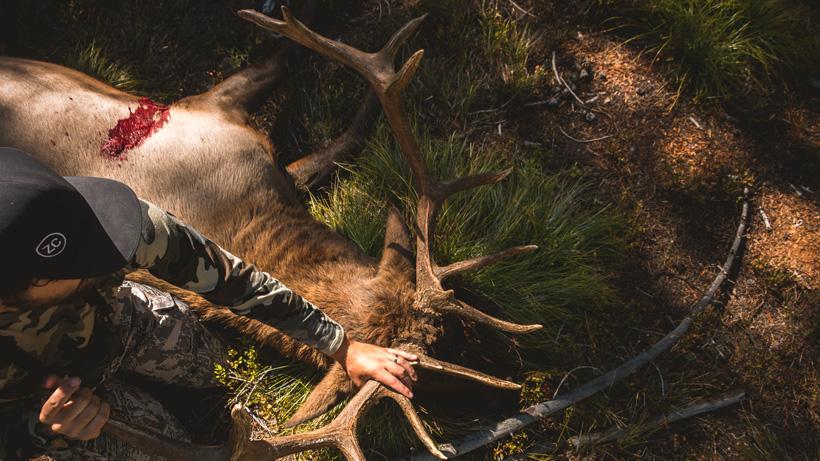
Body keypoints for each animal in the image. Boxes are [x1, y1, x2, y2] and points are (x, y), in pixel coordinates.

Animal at [0, 4, 751, 460]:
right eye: (430, 379)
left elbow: (337, 132)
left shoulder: (240, 133)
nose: (519, 391)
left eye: (461, 331)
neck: (238, 209)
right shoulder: (206, 107)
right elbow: (290, 66)